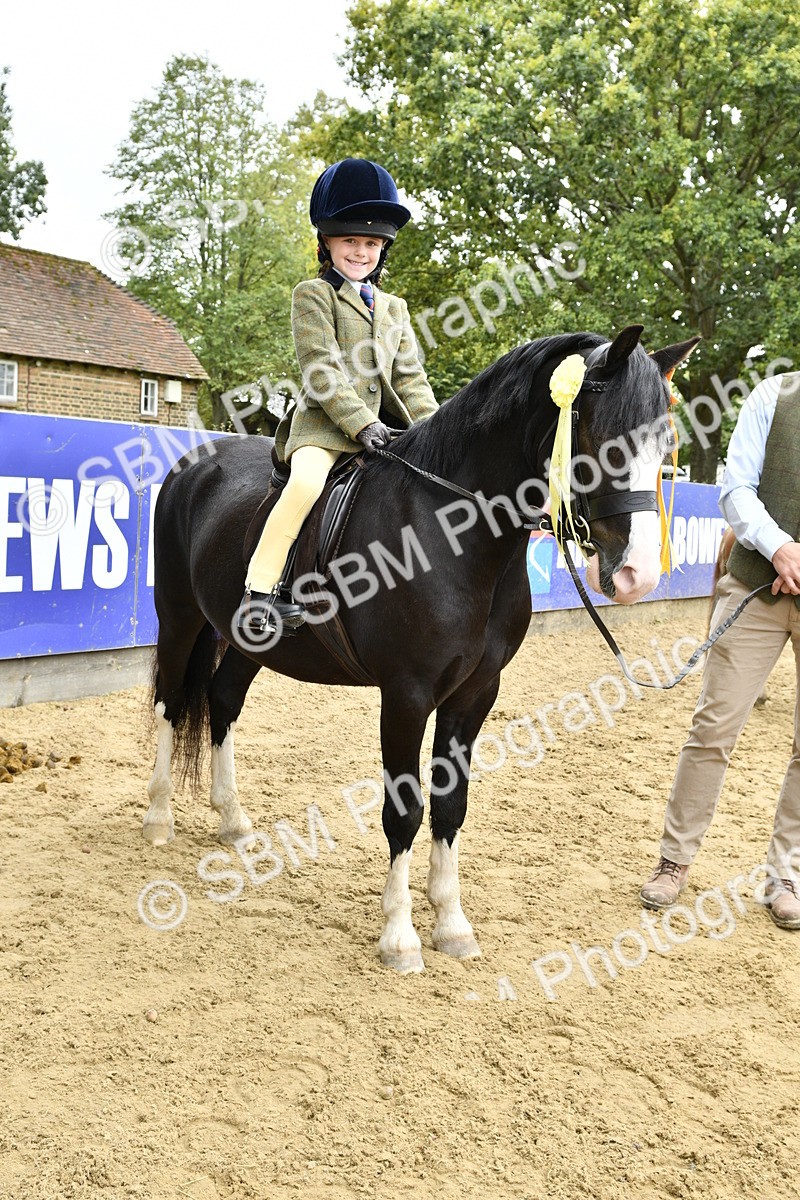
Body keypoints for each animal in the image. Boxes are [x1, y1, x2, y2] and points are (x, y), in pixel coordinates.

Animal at [145, 324, 699, 973]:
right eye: (607, 442)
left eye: (664, 445)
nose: (639, 574)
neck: (451, 531)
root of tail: (195, 464)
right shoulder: (406, 695)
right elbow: (404, 809)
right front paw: (400, 938)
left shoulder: (475, 693)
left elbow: (451, 805)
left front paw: (453, 925)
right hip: (179, 617)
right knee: (170, 703)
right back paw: (158, 817)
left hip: (248, 642)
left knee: (223, 700)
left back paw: (232, 822)